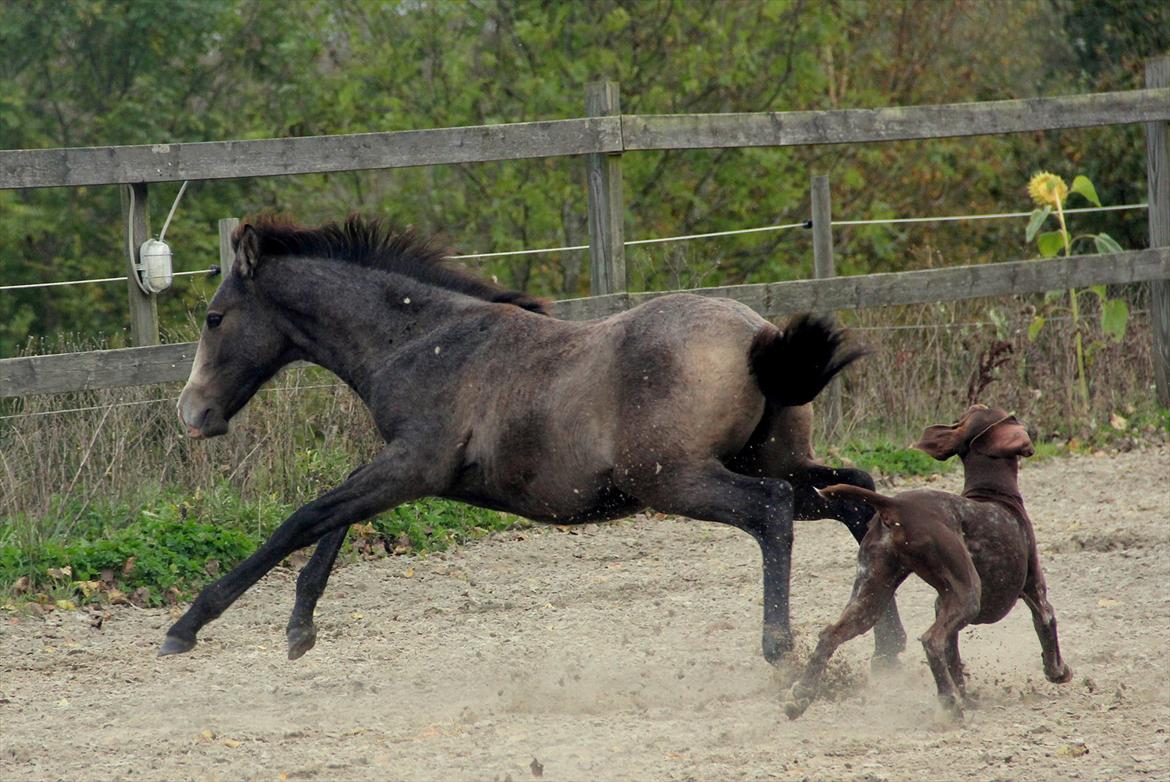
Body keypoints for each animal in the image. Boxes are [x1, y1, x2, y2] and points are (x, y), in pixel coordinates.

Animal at [167, 215, 903, 664]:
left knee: (772, 511)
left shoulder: (414, 465)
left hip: (677, 478)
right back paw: (883, 646)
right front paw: (300, 628)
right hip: (777, 461)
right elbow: (334, 517)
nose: (191, 412)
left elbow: (306, 517)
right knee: (859, 497)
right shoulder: (405, 467)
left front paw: (186, 626)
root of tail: (759, 336)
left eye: (214, 317)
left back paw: (781, 649)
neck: (424, 340)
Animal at [786, 409, 1071, 721]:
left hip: (870, 598)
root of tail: (894, 505)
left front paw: (967, 697)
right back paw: (949, 704)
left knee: (830, 635)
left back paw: (801, 696)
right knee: (931, 641)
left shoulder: (943, 604)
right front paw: (1059, 672)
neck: (994, 493)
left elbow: (954, 660)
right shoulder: (1036, 595)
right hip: (968, 594)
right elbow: (1048, 629)